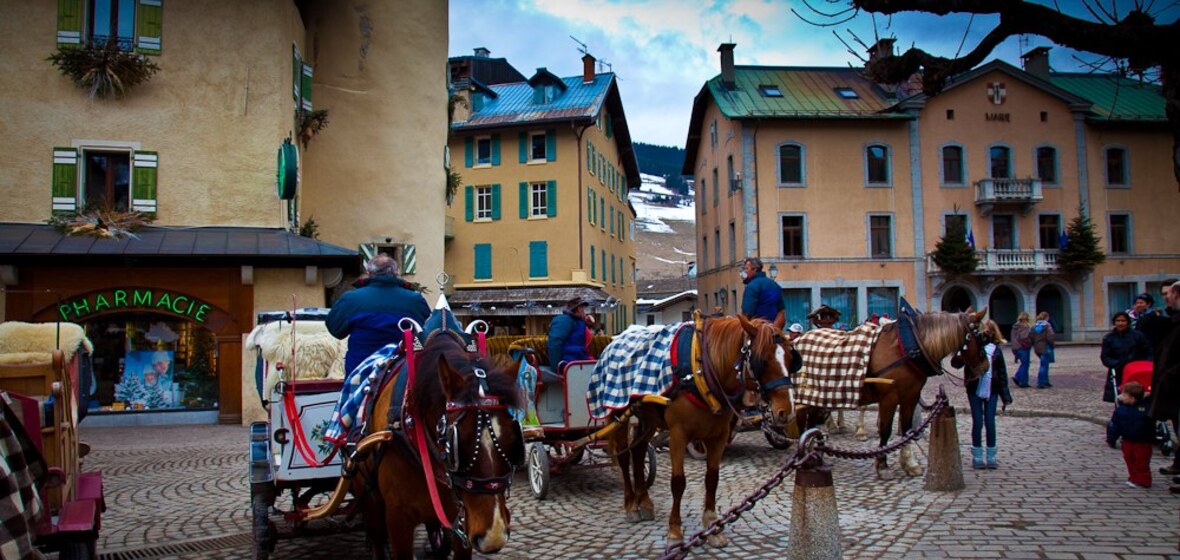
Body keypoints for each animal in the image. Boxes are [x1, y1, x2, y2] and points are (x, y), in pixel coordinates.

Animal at [349, 332, 526, 560]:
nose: (493, 536)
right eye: (457, 443)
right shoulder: (397, 519)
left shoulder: (462, 518)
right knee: (377, 539)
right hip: (370, 503)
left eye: (513, 440)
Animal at [604, 313, 797, 549]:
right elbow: (678, 482)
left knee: (639, 451)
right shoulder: (678, 435)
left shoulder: (719, 436)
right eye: (762, 360)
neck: (703, 369)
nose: (786, 411)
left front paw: (712, 525)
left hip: (648, 419)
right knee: (624, 457)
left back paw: (645, 502)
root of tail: (614, 340)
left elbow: (712, 478)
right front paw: (675, 531)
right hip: (617, 415)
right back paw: (631, 505)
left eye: (790, 357)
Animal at [792, 306, 986, 478]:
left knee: (811, 421)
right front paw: (882, 465)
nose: (985, 365)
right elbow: (885, 431)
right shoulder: (889, 398)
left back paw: (812, 450)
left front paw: (910, 463)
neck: (908, 349)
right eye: (981, 336)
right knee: (802, 421)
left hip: (817, 395)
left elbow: (907, 430)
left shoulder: (911, 396)